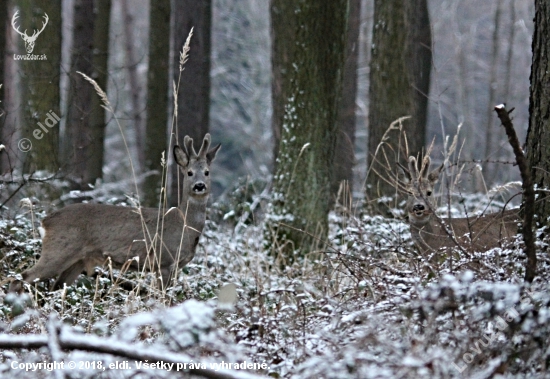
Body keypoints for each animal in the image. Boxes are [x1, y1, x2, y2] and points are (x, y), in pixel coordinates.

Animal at [9, 134, 221, 294]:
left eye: (207, 172)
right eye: (190, 172)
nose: (199, 186)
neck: (184, 224)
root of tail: (46, 221)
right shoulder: (164, 261)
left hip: (76, 261)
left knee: (56, 286)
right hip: (58, 250)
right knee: (22, 278)